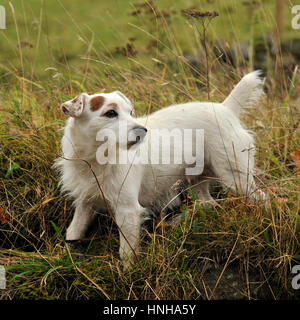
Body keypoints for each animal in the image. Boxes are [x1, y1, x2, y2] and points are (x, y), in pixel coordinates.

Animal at [54, 71, 264, 266]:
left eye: (131, 112)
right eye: (110, 113)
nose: (142, 131)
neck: (95, 158)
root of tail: (225, 108)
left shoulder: (127, 210)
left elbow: (126, 251)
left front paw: (129, 273)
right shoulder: (85, 203)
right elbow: (74, 231)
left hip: (235, 177)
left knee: (262, 197)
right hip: (199, 181)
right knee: (208, 203)